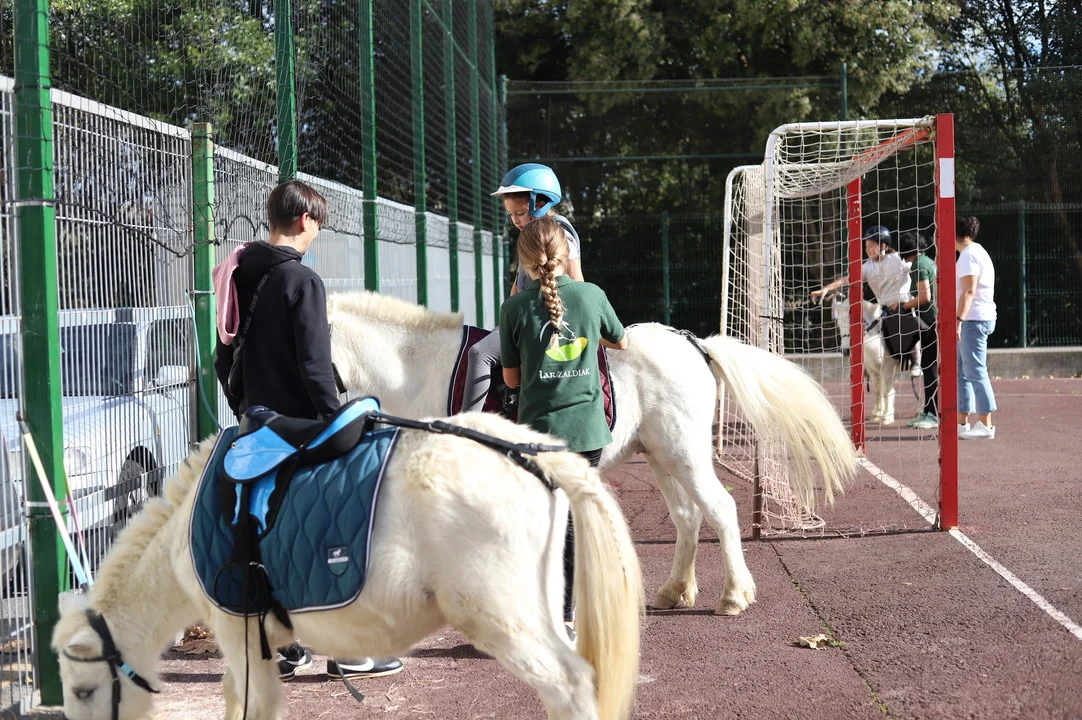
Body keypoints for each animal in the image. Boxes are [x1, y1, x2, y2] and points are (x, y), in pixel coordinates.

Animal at [52, 411, 644, 720]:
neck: (186, 525)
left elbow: (251, 705)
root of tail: (532, 451)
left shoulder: (238, 631)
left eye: (82, 691)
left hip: (502, 618)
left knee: (569, 685)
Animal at [327, 291, 857, 617]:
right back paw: (674, 592)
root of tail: (694, 343)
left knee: (721, 509)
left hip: (685, 454)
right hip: (661, 457)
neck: (417, 370)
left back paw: (735, 596)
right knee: (688, 519)